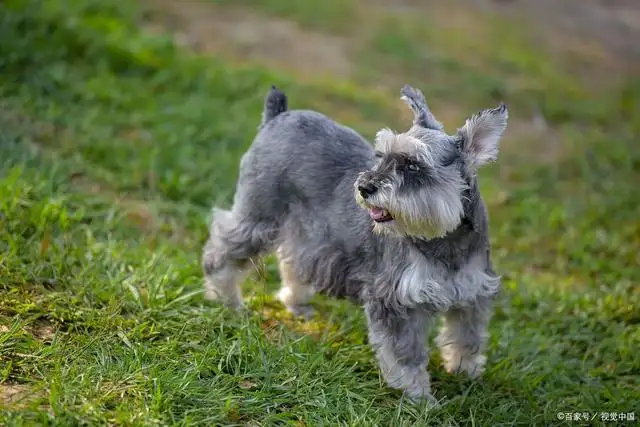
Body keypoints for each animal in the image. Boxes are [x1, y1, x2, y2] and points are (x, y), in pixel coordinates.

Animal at [201, 84, 510, 404]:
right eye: (381, 155)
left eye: (413, 165)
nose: (364, 187)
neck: (444, 240)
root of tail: (278, 115)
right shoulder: (395, 301)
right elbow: (406, 356)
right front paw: (418, 397)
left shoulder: (472, 297)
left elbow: (467, 339)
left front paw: (466, 373)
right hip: (258, 217)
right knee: (222, 250)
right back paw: (225, 299)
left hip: (305, 231)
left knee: (293, 259)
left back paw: (296, 304)